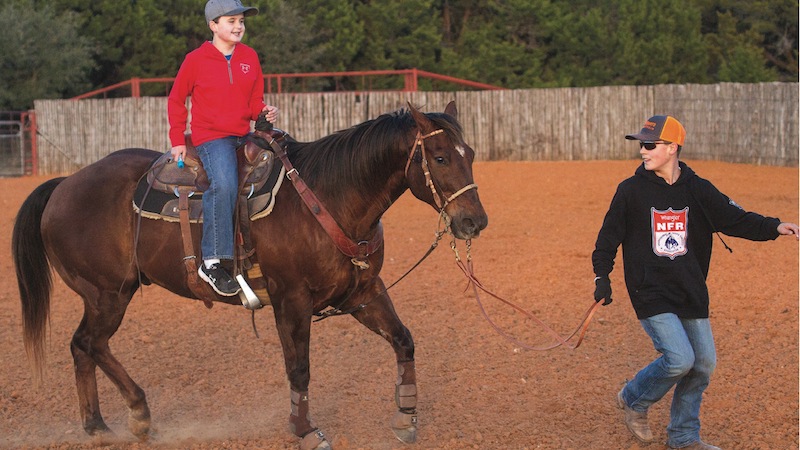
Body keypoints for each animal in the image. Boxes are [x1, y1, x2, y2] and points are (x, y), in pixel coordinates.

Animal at [12, 101, 488, 449]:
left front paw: (406, 418)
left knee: (83, 348)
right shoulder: (291, 300)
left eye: (471, 155)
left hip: (105, 295)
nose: (475, 222)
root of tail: (64, 184)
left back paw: (98, 425)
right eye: (440, 157)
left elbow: (403, 340)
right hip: (107, 293)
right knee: (89, 344)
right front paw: (304, 430)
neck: (331, 197)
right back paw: (137, 415)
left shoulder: (363, 293)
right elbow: (299, 369)